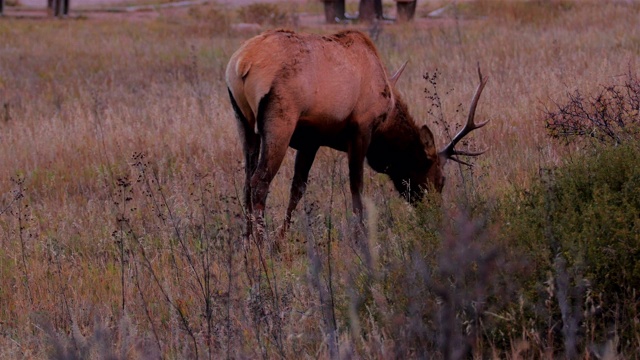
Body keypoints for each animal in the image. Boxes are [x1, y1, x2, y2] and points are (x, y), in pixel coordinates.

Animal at [226, 29, 490, 240]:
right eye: (441, 179)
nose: (436, 215)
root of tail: (243, 63)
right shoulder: (361, 130)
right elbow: (357, 188)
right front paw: (360, 237)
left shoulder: (312, 140)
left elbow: (297, 189)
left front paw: (281, 240)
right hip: (280, 120)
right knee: (260, 181)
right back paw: (261, 245)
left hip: (244, 122)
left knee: (246, 182)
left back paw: (247, 242)